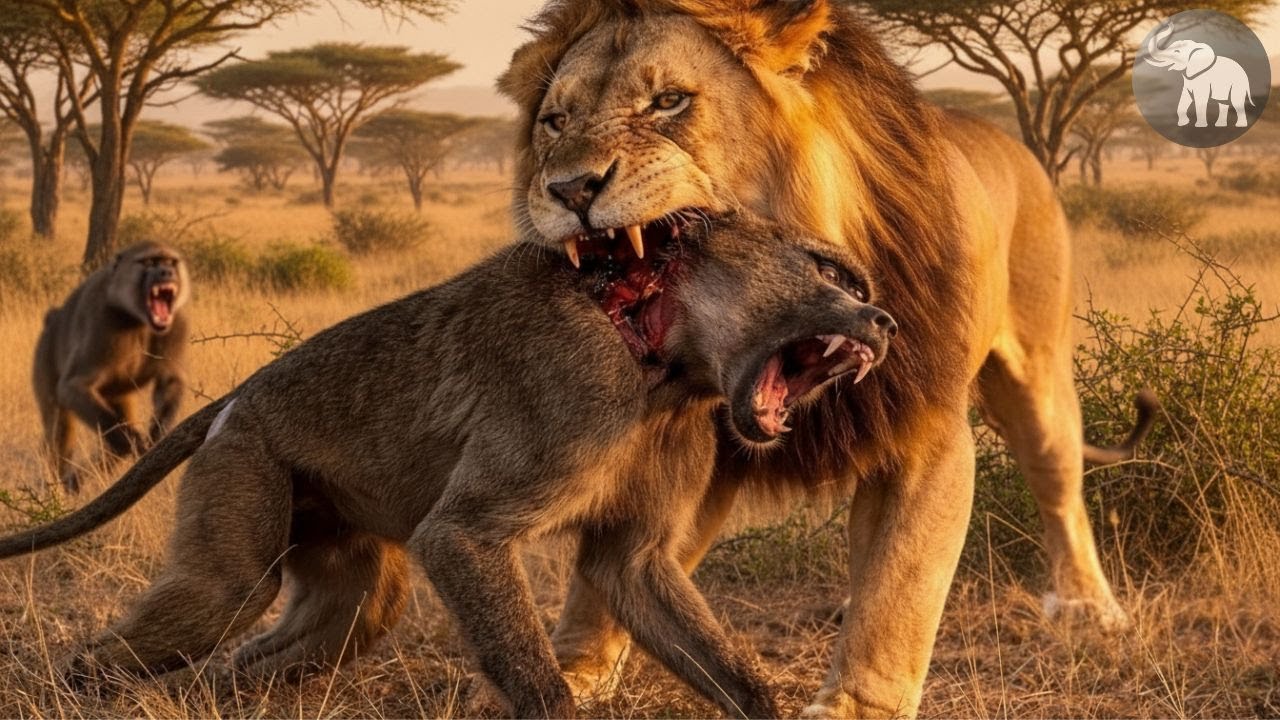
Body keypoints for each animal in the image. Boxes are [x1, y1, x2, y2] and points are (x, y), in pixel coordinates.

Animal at [487, 0, 1158, 716]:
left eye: (669, 101)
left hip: (1039, 370)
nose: (569, 188)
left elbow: (900, 588)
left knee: (1058, 483)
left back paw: (1088, 606)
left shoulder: (924, 431)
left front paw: (853, 705)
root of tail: (1005, 137)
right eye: (555, 121)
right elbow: (607, 566)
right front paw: (574, 668)